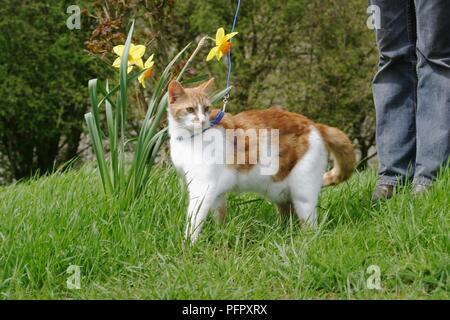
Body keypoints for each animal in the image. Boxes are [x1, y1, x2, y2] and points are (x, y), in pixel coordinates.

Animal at [167, 79, 356, 242]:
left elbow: (194, 219)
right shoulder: (217, 192)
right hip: (280, 190)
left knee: (309, 225)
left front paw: (188, 244)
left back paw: (304, 241)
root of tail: (314, 124)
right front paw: (221, 235)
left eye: (206, 108)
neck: (189, 139)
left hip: (303, 192)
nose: (202, 120)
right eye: (190, 109)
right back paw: (281, 234)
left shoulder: (203, 188)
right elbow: (219, 216)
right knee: (288, 215)